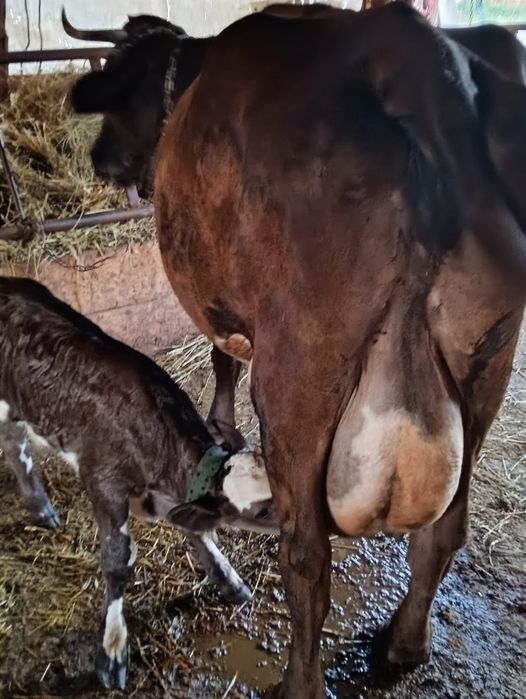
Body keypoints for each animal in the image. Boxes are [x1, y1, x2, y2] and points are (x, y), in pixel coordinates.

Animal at [0, 276, 277, 690]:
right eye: (263, 510)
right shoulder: (103, 480)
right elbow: (117, 562)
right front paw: (113, 649)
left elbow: (198, 531)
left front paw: (228, 580)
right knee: (15, 447)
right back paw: (41, 506)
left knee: (14, 444)